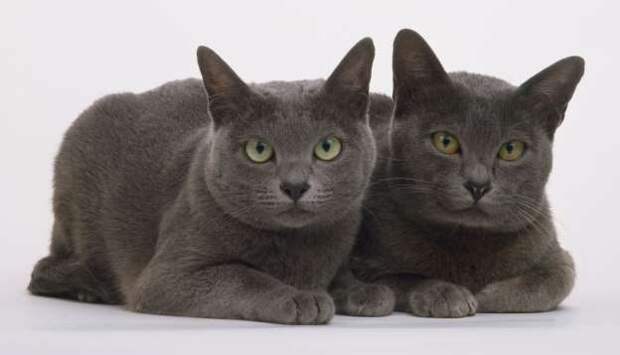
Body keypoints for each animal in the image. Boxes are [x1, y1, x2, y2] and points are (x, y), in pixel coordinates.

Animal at [27, 39, 392, 326]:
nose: (295, 185)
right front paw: (300, 298)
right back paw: (89, 288)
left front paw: (362, 290)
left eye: (327, 147)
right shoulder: (166, 277)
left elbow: (353, 279)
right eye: (258, 150)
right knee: (42, 270)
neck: (296, 246)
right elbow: (243, 276)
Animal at [352, 28, 584, 318]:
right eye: (445, 141)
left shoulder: (556, 253)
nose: (478, 184)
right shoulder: (363, 263)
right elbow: (402, 278)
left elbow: (553, 281)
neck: (468, 239)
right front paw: (447, 293)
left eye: (511, 149)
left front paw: (488, 295)